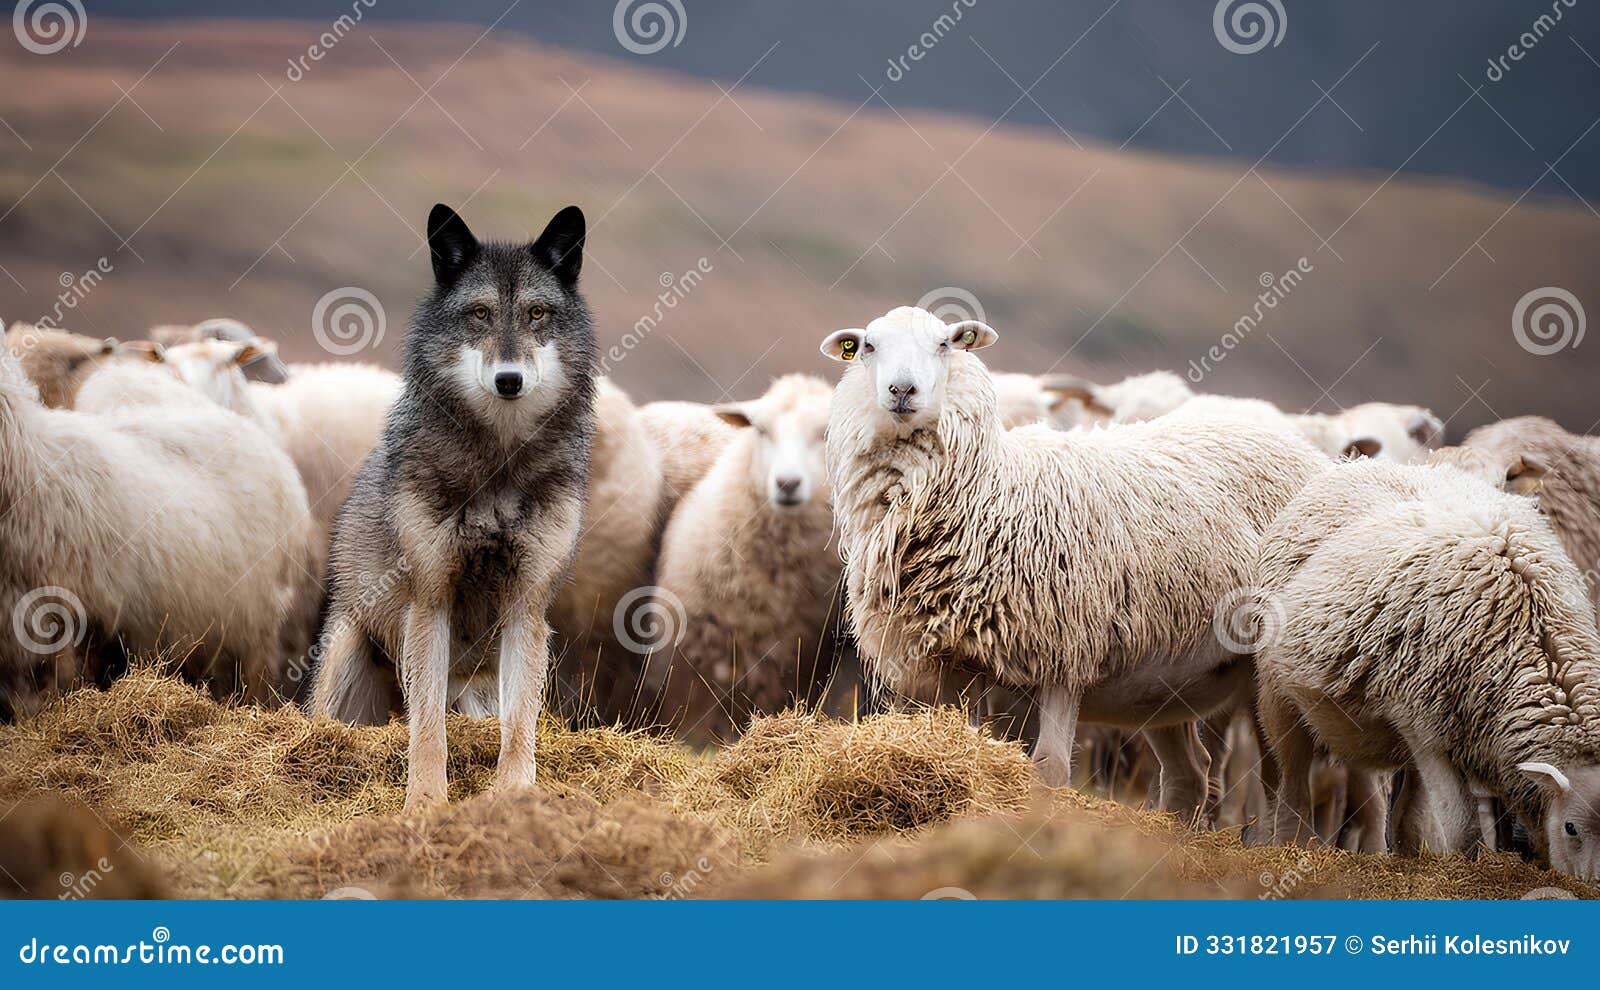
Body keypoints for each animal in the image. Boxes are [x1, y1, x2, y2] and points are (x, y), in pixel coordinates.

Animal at [310, 203, 596, 810]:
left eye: (536, 313)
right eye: (480, 314)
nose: (509, 380)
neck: (498, 463)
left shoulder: (526, 607)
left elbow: (519, 724)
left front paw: (514, 794)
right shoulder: (429, 599)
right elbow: (427, 727)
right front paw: (424, 803)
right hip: (346, 645)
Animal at [651, 374, 842, 743]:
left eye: (826, 433)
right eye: (762, 430)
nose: (787, 483)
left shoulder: (794, 657)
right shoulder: (691, 648)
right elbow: (688, 718)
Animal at [820, 306, 1329, 816]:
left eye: (945, 344)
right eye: (868, 346)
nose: (902, 391)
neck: (988, 491)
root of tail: (1304, 450)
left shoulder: (1064, 652)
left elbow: (1049, 769)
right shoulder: (951, 665)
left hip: (1268, 673)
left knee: (1281, 782)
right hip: (1166, 680)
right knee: (1191, 773)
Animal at [1254, 457, 1600, 879]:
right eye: (1571, 828)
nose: (1594, 885)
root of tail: (1361, 463)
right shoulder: (1427, 732)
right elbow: (1463, 826)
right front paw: (1466, 871)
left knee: (1407, 803)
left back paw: (1407, 852)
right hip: (1278, 688)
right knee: (1292, 779)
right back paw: (1289, 843)